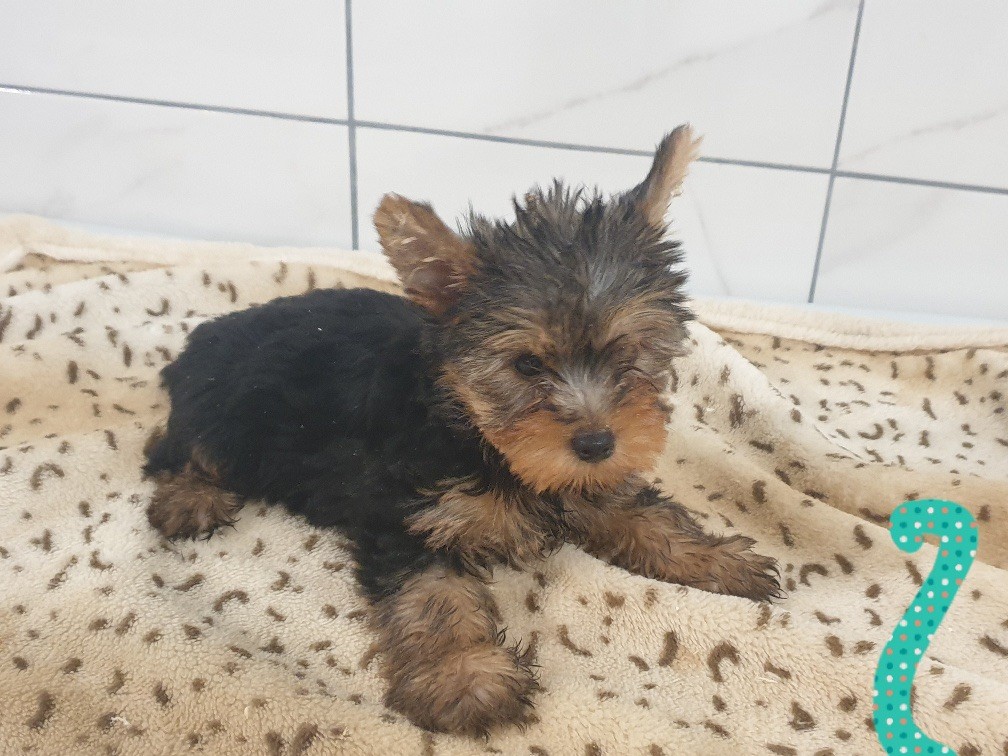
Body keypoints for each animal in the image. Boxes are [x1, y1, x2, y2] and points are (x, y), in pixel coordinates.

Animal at [143, 125, 781, 737]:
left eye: (628, 351)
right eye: (526, 365)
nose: (598, 444)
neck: (477, 433)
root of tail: (203, 339)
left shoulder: (581, 475)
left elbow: (640, 511)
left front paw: (712, 557)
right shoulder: (410, 514)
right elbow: (433, 595)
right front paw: (463, 679)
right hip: (224, 412)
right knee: (176, 448)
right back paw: (189, 497)